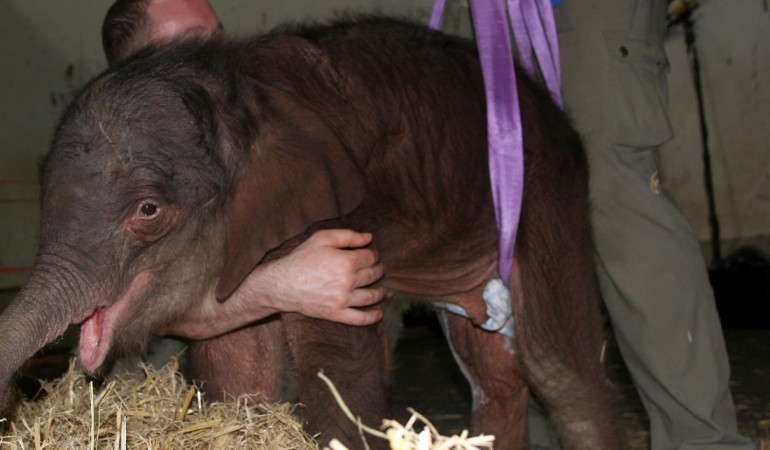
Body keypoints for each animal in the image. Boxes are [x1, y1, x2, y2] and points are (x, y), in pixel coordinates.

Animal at [0, 17, 621, 450]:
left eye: (148, 210)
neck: (242, 92)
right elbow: (236, 360)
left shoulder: (340, 214)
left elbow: (338, 363)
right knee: (493, 375)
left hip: (548, 195)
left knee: (560, 370)